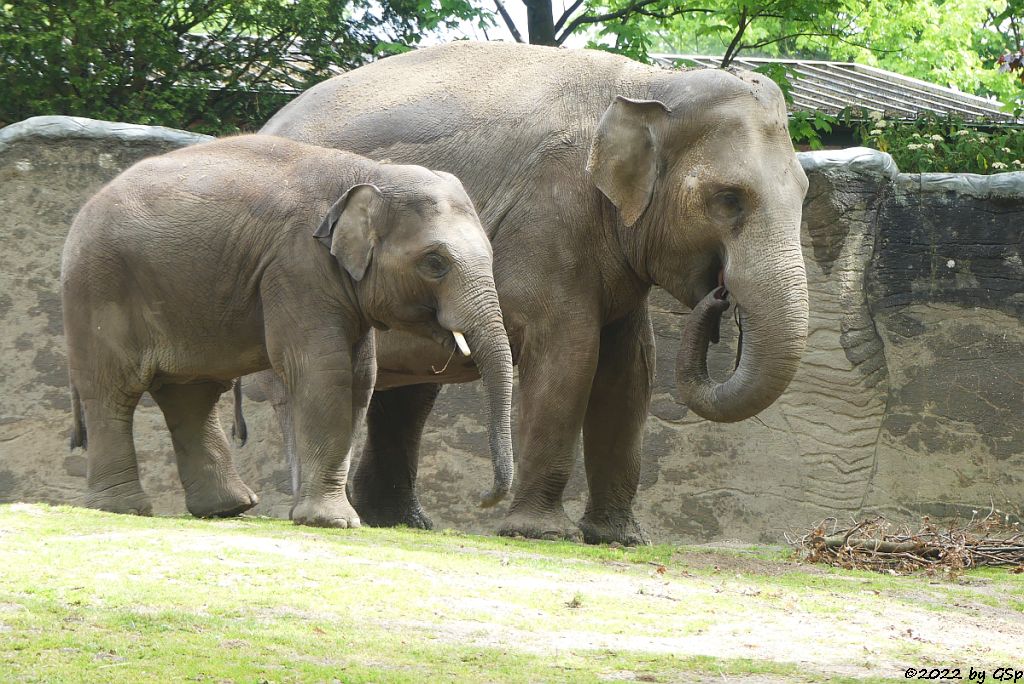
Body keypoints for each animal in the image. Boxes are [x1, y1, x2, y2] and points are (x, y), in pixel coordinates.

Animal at [59, 135, 516, 528]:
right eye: (434, 263)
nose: (485, 499)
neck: (371, 172)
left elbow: (360, 377)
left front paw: (328, 517)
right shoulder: (297, 266)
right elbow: (323, 372)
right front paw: (333, 522)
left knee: (191, 394)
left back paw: (230, 508)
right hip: (98, 287)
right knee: (113, 390)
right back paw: (124, 508)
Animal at [253, 41, 806, 544]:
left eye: (804, 192)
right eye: (728, 199)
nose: (720, 296)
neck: (652, 84)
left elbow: (630, 371)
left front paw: (620, 539)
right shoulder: (550, 216)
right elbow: (569, 356)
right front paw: (540, 532)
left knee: (410, 393)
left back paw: (398, 522)